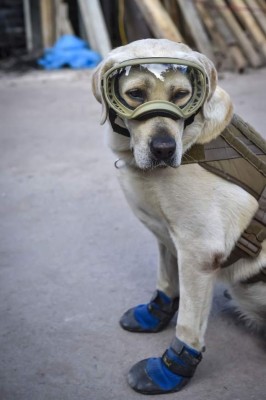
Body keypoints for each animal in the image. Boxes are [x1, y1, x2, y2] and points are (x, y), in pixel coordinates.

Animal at [92, 39, 266, 396]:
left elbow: (187, 322)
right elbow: (166, 281)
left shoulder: (200, 252)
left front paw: (169, 371)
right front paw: (153, 315)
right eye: (135, 94)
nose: (163, 149)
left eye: (182, 94)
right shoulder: (168, 237)